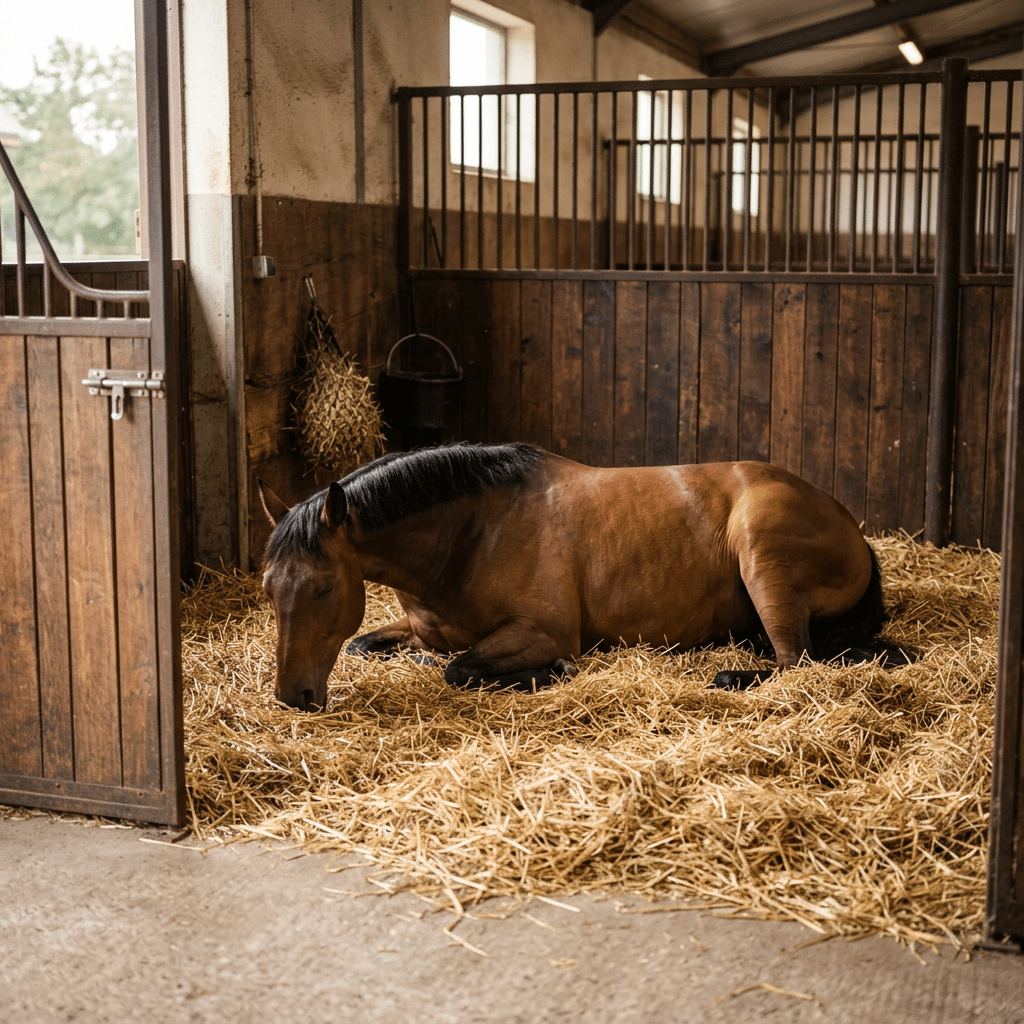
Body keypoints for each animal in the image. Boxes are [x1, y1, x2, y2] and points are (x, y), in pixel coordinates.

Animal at [258, 443, 898, 712]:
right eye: (268, 590)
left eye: (323, 588)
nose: (293, 697)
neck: (472, 534)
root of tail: (847, 522)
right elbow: (371, 645)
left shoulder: (542, 632)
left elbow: (459, 669)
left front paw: (554, 673)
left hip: (763, 556)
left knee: (795, 663)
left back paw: (729, 676)